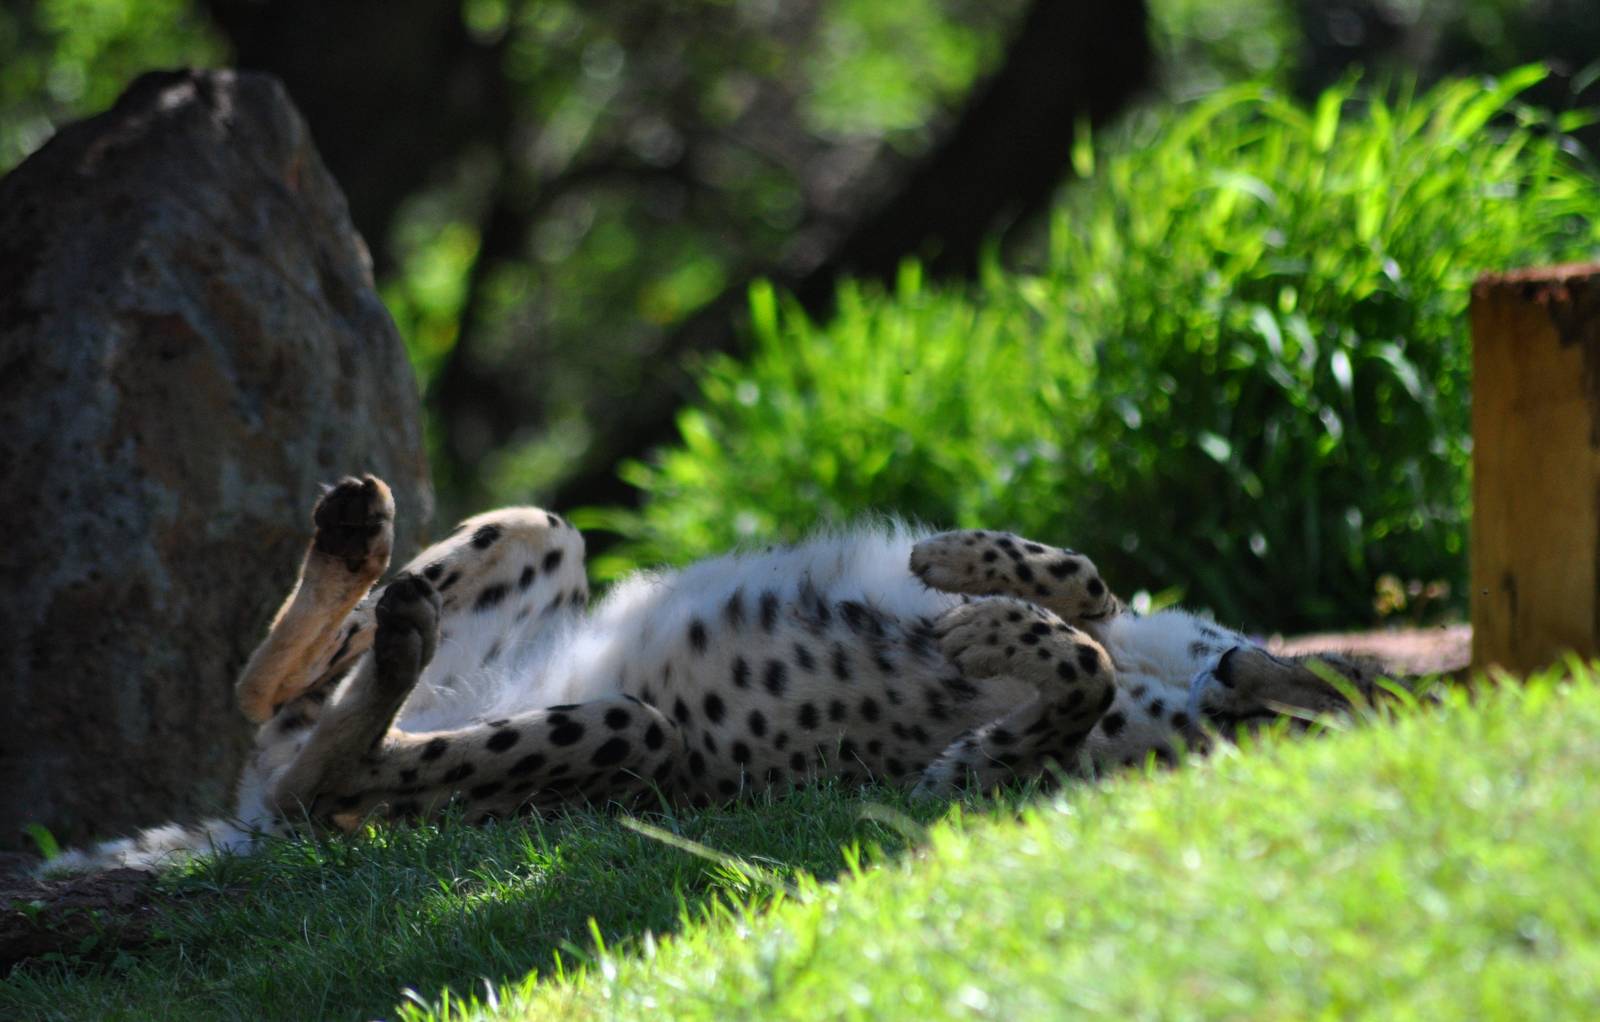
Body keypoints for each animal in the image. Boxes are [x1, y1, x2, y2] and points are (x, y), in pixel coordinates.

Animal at [45, 474, 1388, 873]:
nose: (1240, 673)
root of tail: (237, 822)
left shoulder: (957, 783)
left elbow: (1077, 678)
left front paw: (992, 628)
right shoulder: (1149, 626)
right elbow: (1093, 594)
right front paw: (971, 566)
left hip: (631, 737)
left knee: (325, 781)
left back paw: (394, 642)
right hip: (544, 537)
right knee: (267, 698)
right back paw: (358, 545)